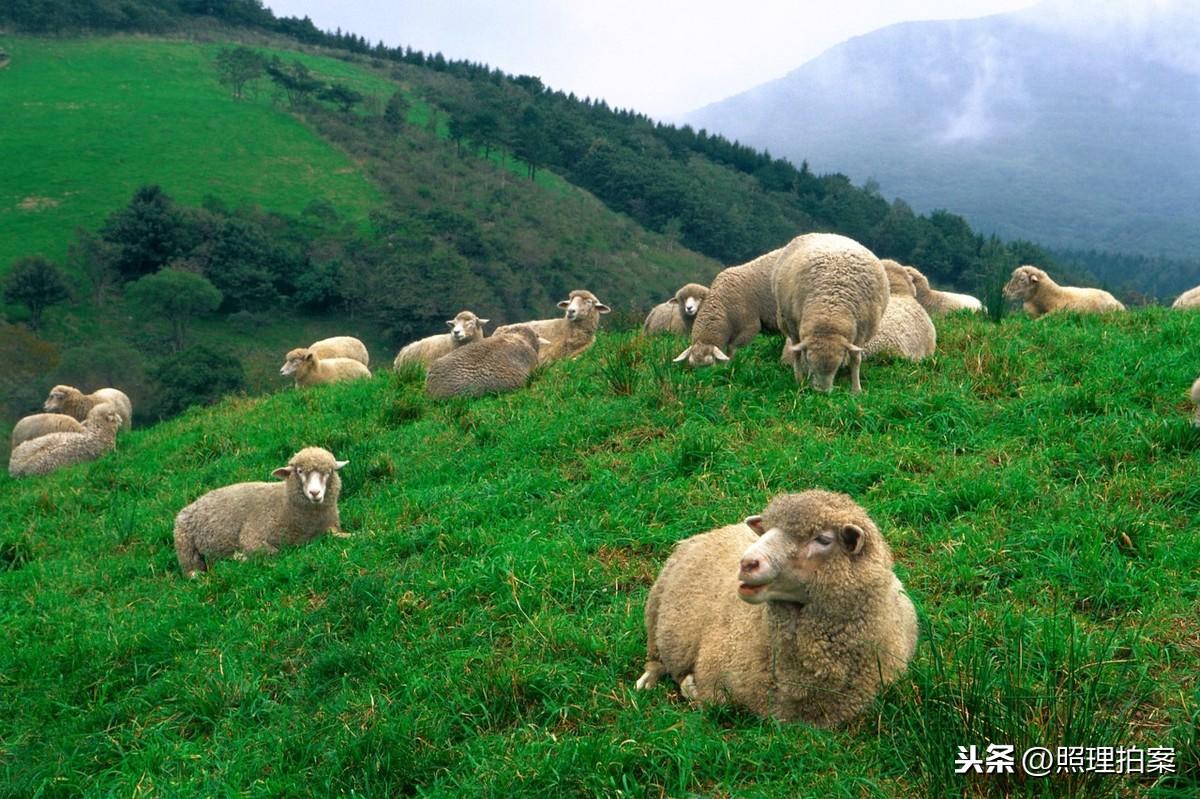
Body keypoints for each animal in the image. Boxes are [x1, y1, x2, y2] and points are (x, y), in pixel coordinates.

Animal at [171, 443, 348, 575]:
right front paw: (240, 557)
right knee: (192, 571)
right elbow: (273, 552)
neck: (284, 503)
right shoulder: (252, 537)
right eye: (299, 471)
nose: (315, 493)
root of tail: (191, 504)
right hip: (185, 547)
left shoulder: (329, 526)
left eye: (329, 472)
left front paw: (351, 536)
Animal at [638, 489, 916, 724]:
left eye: (823, 539)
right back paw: (647, 682)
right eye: (767, 531)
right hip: (655, 615)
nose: (747, 563)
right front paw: (689, 686)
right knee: (655, 660)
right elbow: (714, 701)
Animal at [768, 230, 892, 391]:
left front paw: (856, 389)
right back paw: (800, 377)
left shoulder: (861, 330)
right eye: (810, 360)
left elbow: (855, 359)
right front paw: (803, 380)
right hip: (787, 321)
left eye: (837, 364)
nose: (821, 392)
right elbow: (800, 353)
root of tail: (826, 233)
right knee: (796, 351)